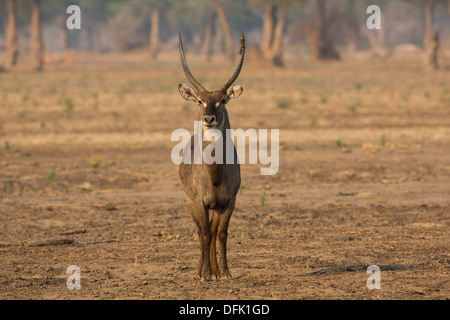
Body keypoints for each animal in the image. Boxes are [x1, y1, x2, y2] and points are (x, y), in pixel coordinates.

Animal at [177, 33, 246, 282]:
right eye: (200, 100)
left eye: (223, 100)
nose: (209, 119)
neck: (215, 175)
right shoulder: (199, 202)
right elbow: (205, 234)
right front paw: (205, 274)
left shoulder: (229, 201)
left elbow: (222, 233)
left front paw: (224, 273)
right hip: (191, 202)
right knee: (201, 231)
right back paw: (201, 271)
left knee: (214, 231)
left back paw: (216, 271)